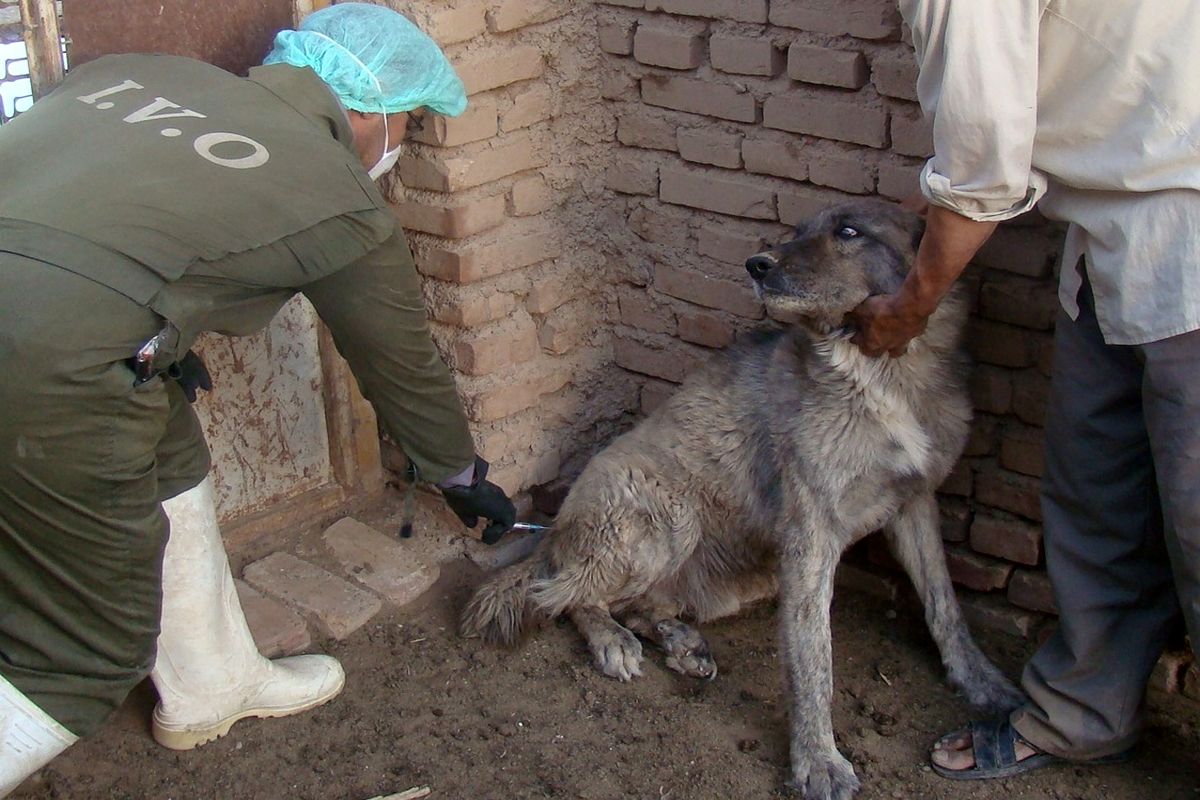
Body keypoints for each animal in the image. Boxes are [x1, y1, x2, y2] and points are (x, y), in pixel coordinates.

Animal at [463, 200, 1027, 800]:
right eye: (798, 230)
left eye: (848, 232)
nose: (757, 264)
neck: (880, 371)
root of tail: (556, 533)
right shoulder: (809, 532)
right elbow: (813, 654)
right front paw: (818, 760)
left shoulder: (915, 500)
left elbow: (944, 603)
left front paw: (983, 684)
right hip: (666, 515)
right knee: (565, 594)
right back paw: (613, 641)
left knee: (637, 603)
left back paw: (680, 643)